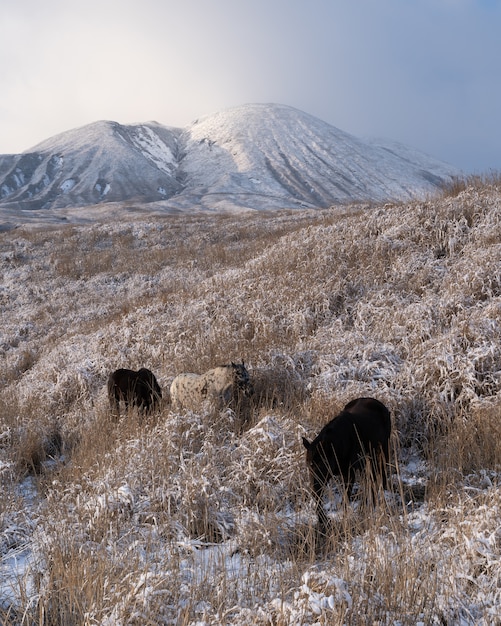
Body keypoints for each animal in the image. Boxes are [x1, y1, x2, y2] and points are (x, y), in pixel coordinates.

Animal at [300, 398, 390, 528]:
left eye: (322, 464)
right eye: (308, 465)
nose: (313, 486)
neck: (337, 447)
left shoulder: (349, 472)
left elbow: (346, 496)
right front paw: (323, 519)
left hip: (382, 449)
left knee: (380, 472)